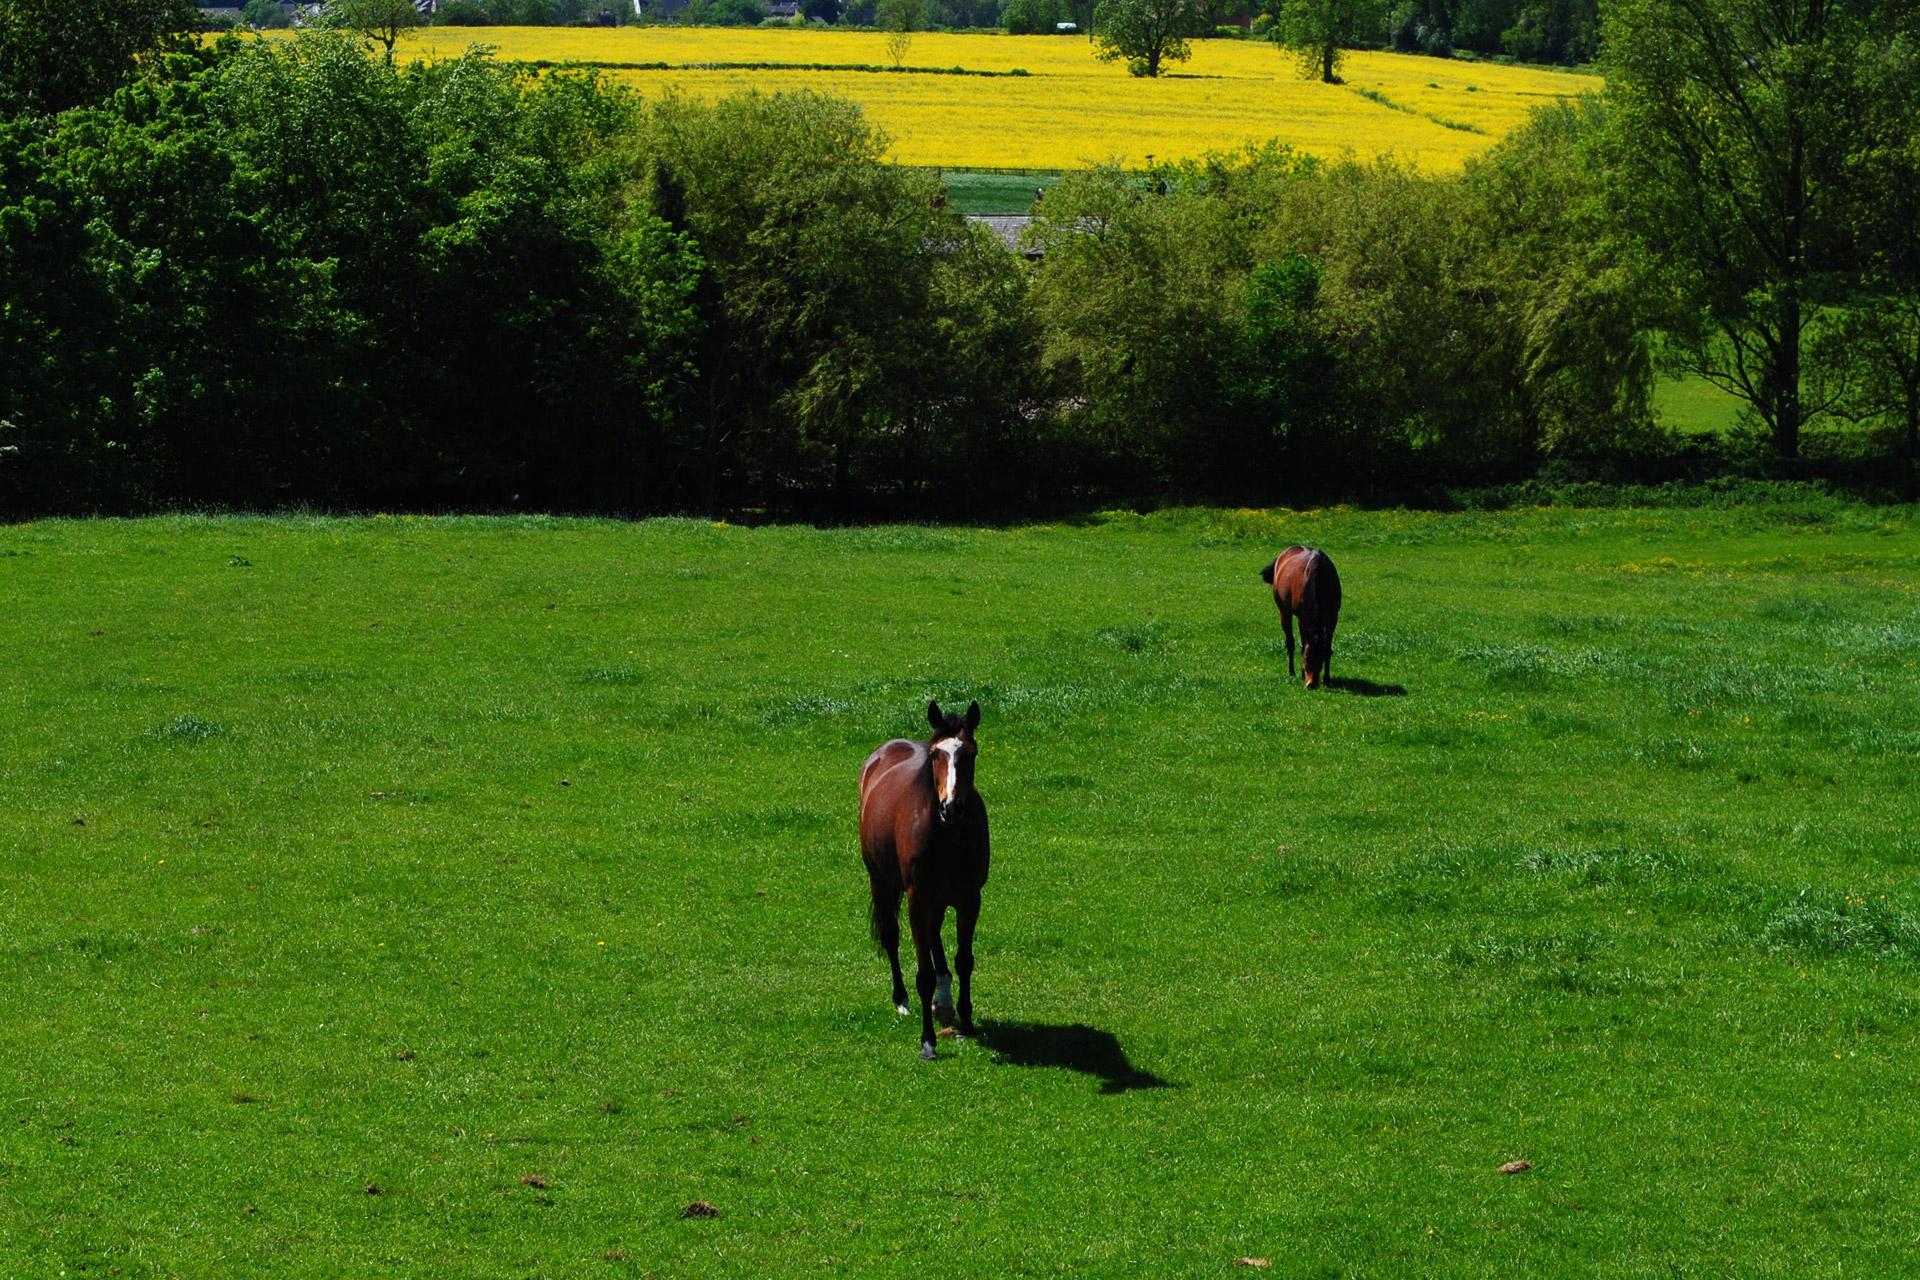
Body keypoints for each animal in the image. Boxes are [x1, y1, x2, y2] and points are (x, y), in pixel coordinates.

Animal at [864, 702, 998, 1059]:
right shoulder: (917, 900)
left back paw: (945, 1000)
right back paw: (902, 1000)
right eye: (936, 754)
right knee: (892, 938)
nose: (951, 808)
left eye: (972, 752)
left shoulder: (969, 898)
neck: (946, 835)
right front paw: (928, 1041)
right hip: (881, 883)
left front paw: (966, 1023)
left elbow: (964, 961)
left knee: (936, 936)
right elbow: (923, 974)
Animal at [1251, 548, 1344, 690]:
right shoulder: (1303, 618)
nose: (1312, 684)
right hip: (1284, 612)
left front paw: (1327, 679)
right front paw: (1302, 674)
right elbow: (1303, 645)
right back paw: (1292, 672)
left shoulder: (1333, 618)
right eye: (1306, 658)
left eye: (1321, 660)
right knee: (1290, 642)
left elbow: (1327, 649)